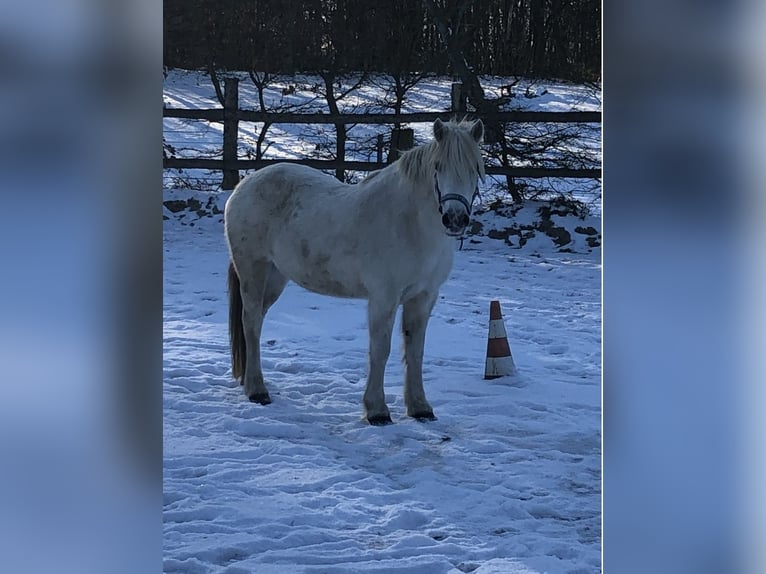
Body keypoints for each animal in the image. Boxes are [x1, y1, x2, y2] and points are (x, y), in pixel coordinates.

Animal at [225, 119, 486, 426]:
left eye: (475, 168)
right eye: (438, 167)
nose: (455, 219)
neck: (411, 224)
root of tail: (244, 185)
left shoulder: (423, 297)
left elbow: (415, 351)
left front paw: (420, 407)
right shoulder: (384, 298)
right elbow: (380, 350)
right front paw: (377, 411)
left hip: (276, 277)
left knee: (256, 322)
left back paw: (250, 381)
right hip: (253, 269)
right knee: (251, 322)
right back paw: (257, 391)